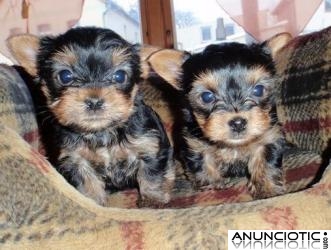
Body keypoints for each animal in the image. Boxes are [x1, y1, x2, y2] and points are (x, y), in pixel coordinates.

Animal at [7, 26, 175, 205]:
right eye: (65, 76)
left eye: (119, 76)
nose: (94, 102)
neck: (101, 132)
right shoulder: (76, 160)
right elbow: (88, 184)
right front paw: (92, 203)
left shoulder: (148, 147)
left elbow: (151, 176)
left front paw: (153, 200)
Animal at [148, 33, 294, 198]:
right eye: (207, 97)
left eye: (258, 90)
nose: (238, 123)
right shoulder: (194, 143)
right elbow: (202, 163)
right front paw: (212, 185)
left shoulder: (269, 136)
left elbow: (266, 161)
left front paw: (267, 189)